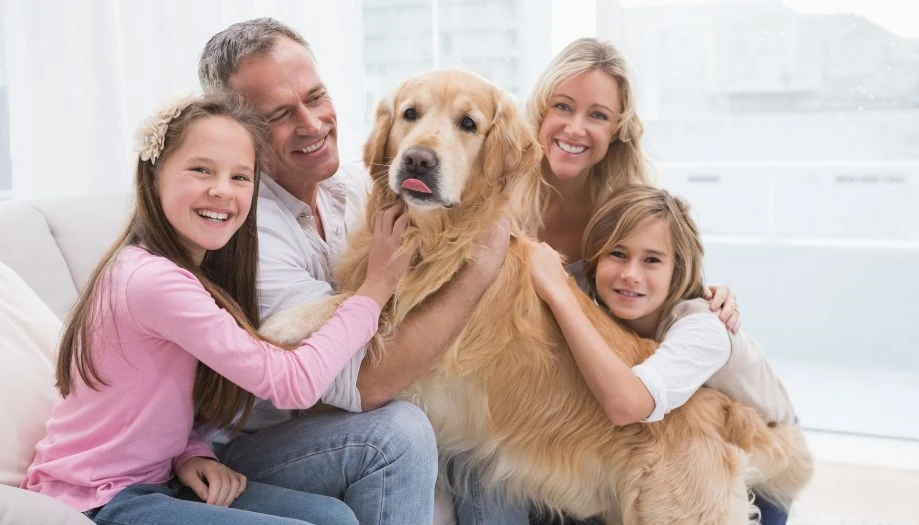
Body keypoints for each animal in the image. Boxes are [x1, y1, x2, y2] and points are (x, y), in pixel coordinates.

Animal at [258, 68, 812, 520]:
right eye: (409, 114)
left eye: (468, 123)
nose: (417, 160)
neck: (437, 238)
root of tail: (715, 409)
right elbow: (358, 299)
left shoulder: (418, 346)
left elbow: (362, 308)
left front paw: (286, 323)